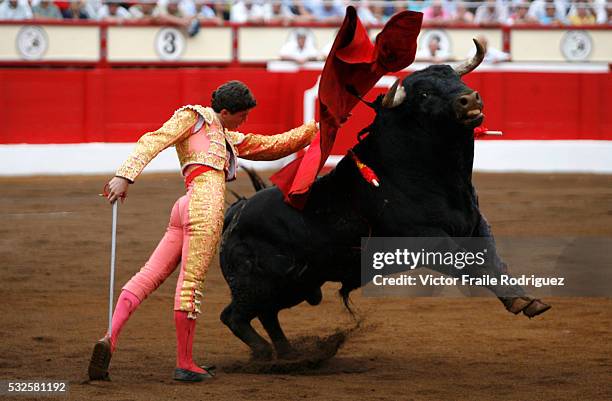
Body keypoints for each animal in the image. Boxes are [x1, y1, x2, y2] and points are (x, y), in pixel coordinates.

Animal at [219, 39, 548, 360]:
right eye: (424, 94)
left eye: (457, 78)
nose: (471, 99)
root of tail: (235, 212)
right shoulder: (428, 239)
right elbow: (470, 263)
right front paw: (520, 300)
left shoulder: (476, 224)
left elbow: (494, 260)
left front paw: (526, 299)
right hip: (259, 283)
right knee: (234, 316)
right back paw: (267, 355)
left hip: (296, 283)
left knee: (266, 314)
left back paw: (289, 354)